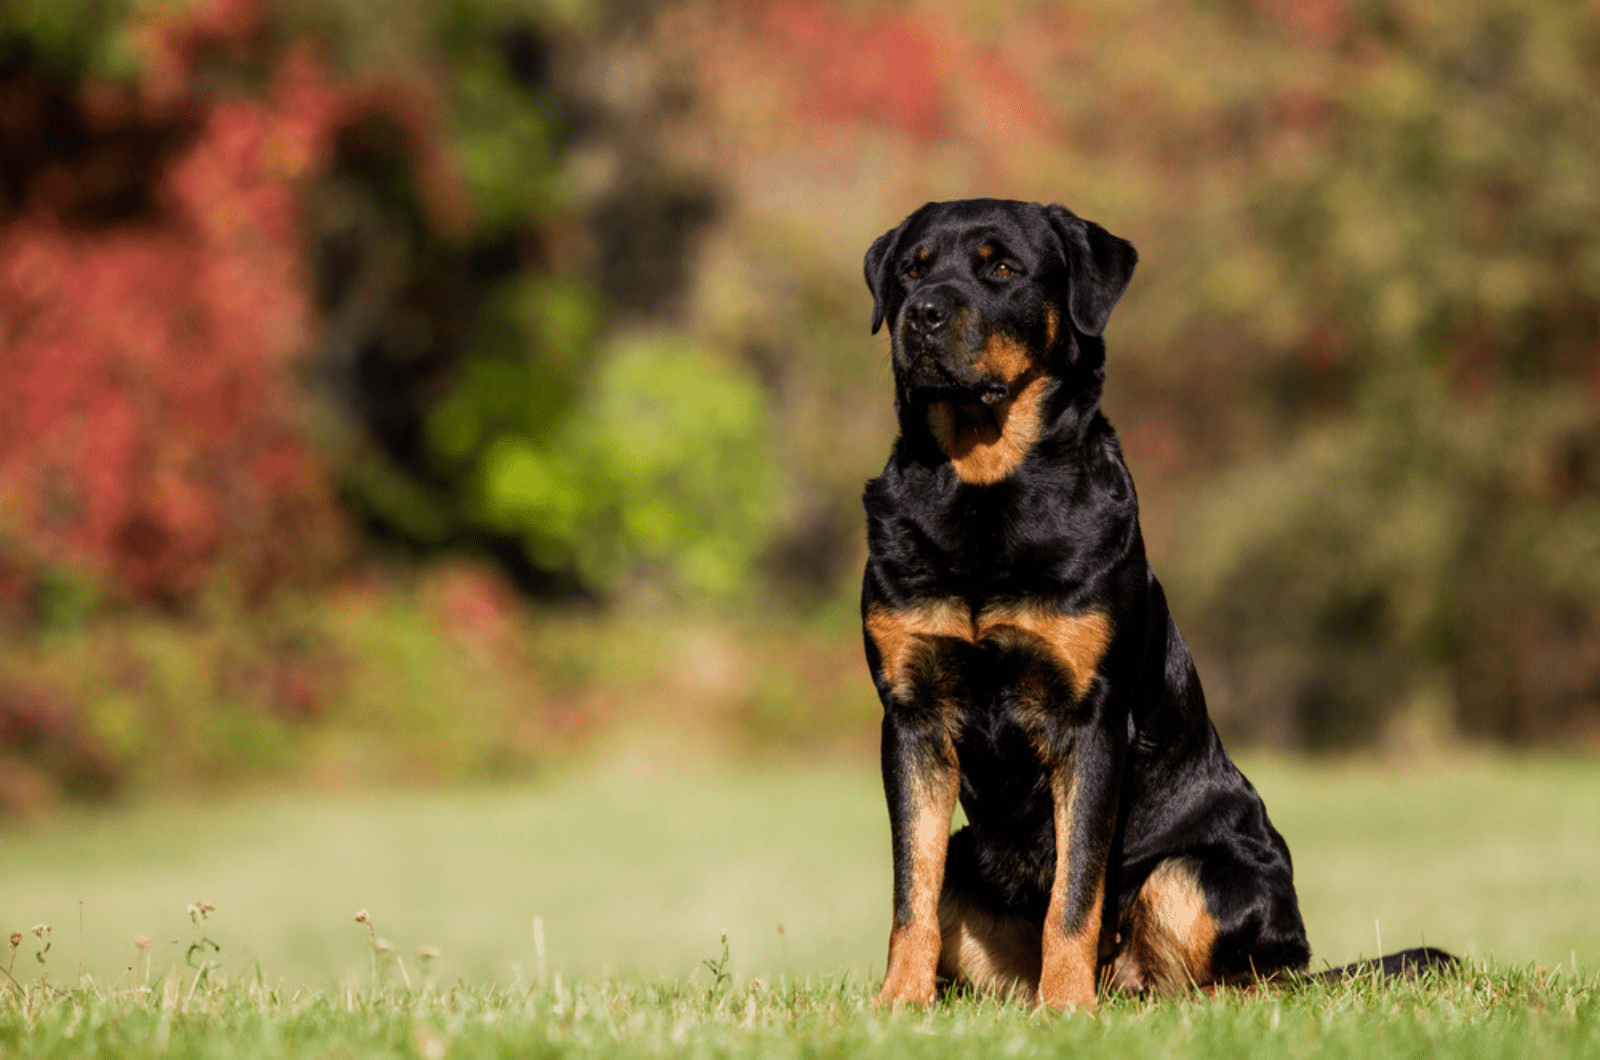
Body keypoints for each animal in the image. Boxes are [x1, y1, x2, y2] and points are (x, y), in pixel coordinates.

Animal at [864, 196, 1452, 1011]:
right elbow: (909, 889)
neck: (984, 491)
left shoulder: (1092, 719)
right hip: (970, 865)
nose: (920, 314)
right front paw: (898, 1002)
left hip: (1202, 873)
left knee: (1244, 978)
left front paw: (1066, 1007)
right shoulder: (913, 715)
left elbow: (1075, 890)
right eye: (910, 271)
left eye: (1002, 268)